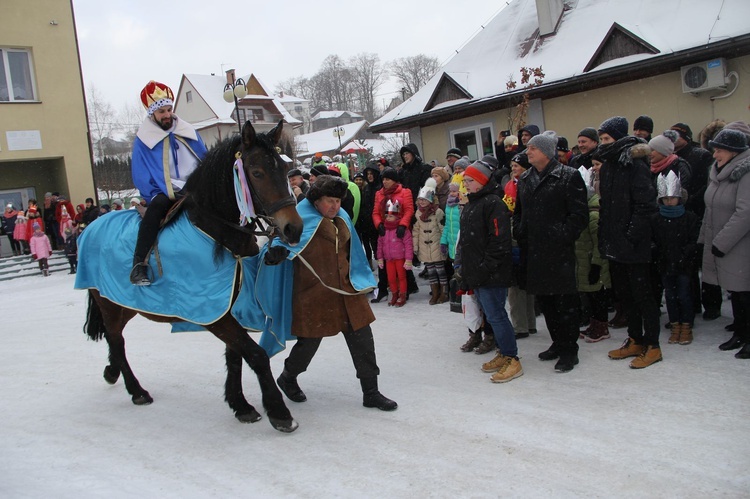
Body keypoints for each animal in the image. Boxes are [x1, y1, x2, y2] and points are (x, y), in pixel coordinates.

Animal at [81, 121, 302, 434]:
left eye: (285, 169)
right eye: (257, 172)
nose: (293, 228)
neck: (215, 231)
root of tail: (90, 227)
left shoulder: (228, 304)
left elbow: (235, 354)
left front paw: (240, 405)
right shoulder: (214, 314)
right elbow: (255, 355)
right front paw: (278, 411)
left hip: (123, 304)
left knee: (116, 339)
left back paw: (112, 372)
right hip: (109, 305)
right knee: (117, 341)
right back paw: (136, 390)